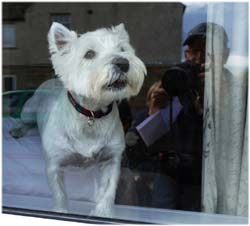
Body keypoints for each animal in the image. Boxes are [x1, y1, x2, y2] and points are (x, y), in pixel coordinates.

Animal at [10, 22, 146, 216]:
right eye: (89, 54)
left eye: (122, 49)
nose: (123, 63)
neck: (91, 113)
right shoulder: (54, 164)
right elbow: (59, 192)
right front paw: (60, 212)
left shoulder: (111, 160)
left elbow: (108, 190)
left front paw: (103, 213)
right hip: (28, 110)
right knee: (26, 121)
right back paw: (17, 130)